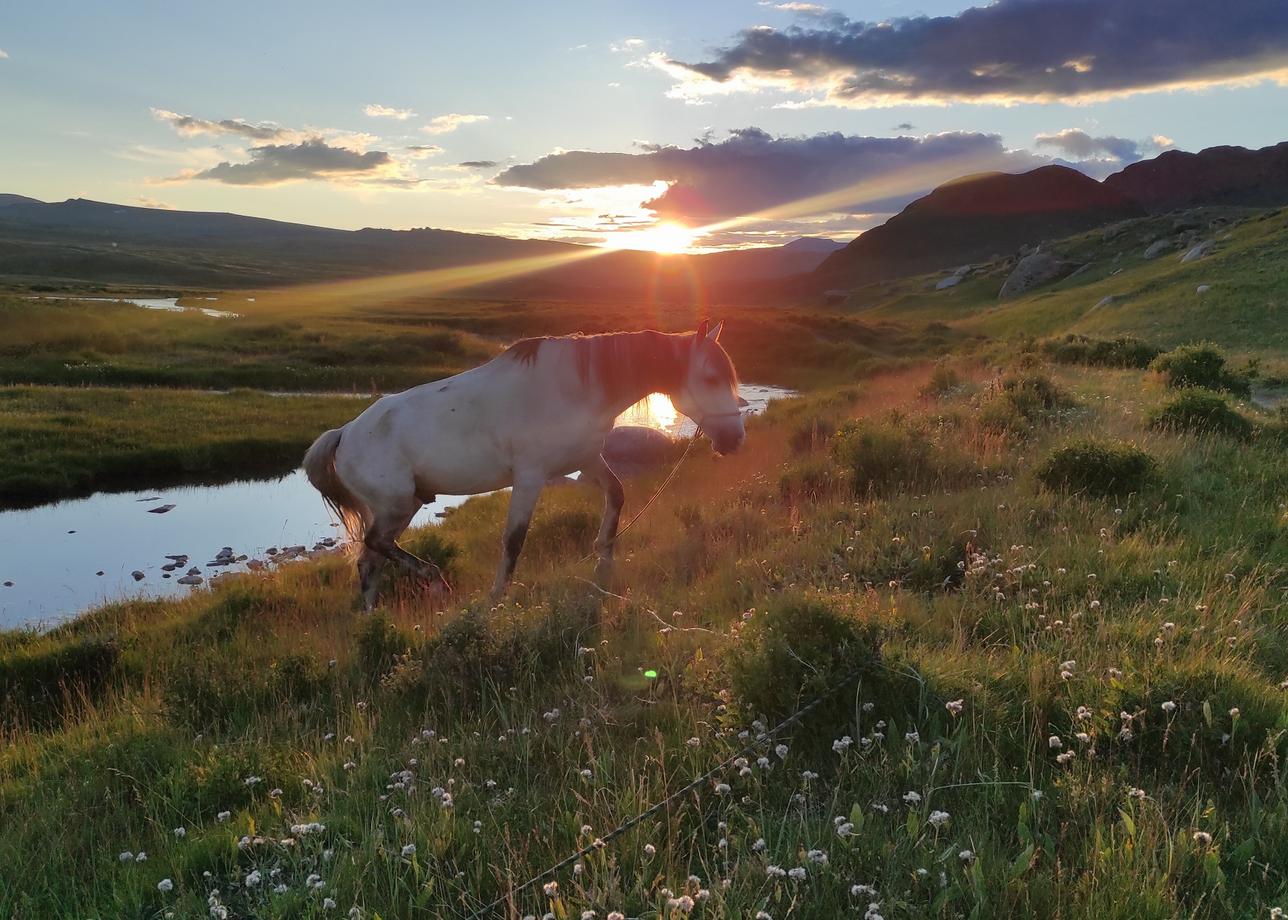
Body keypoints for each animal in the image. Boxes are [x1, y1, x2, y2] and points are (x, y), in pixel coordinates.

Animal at [301, 319, 747, 605]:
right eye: (710, 378)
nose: (735, 439)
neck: (573, 385)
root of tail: (345, 433)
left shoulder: (587, 458)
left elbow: (617, 494)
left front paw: (603, 556)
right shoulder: (530, 478)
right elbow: (513, 539)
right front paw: (497, 597)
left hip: (402, 505)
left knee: (369, 562)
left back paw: (374, 620)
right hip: (395, 505)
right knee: (376, 545)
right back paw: (436, 581)